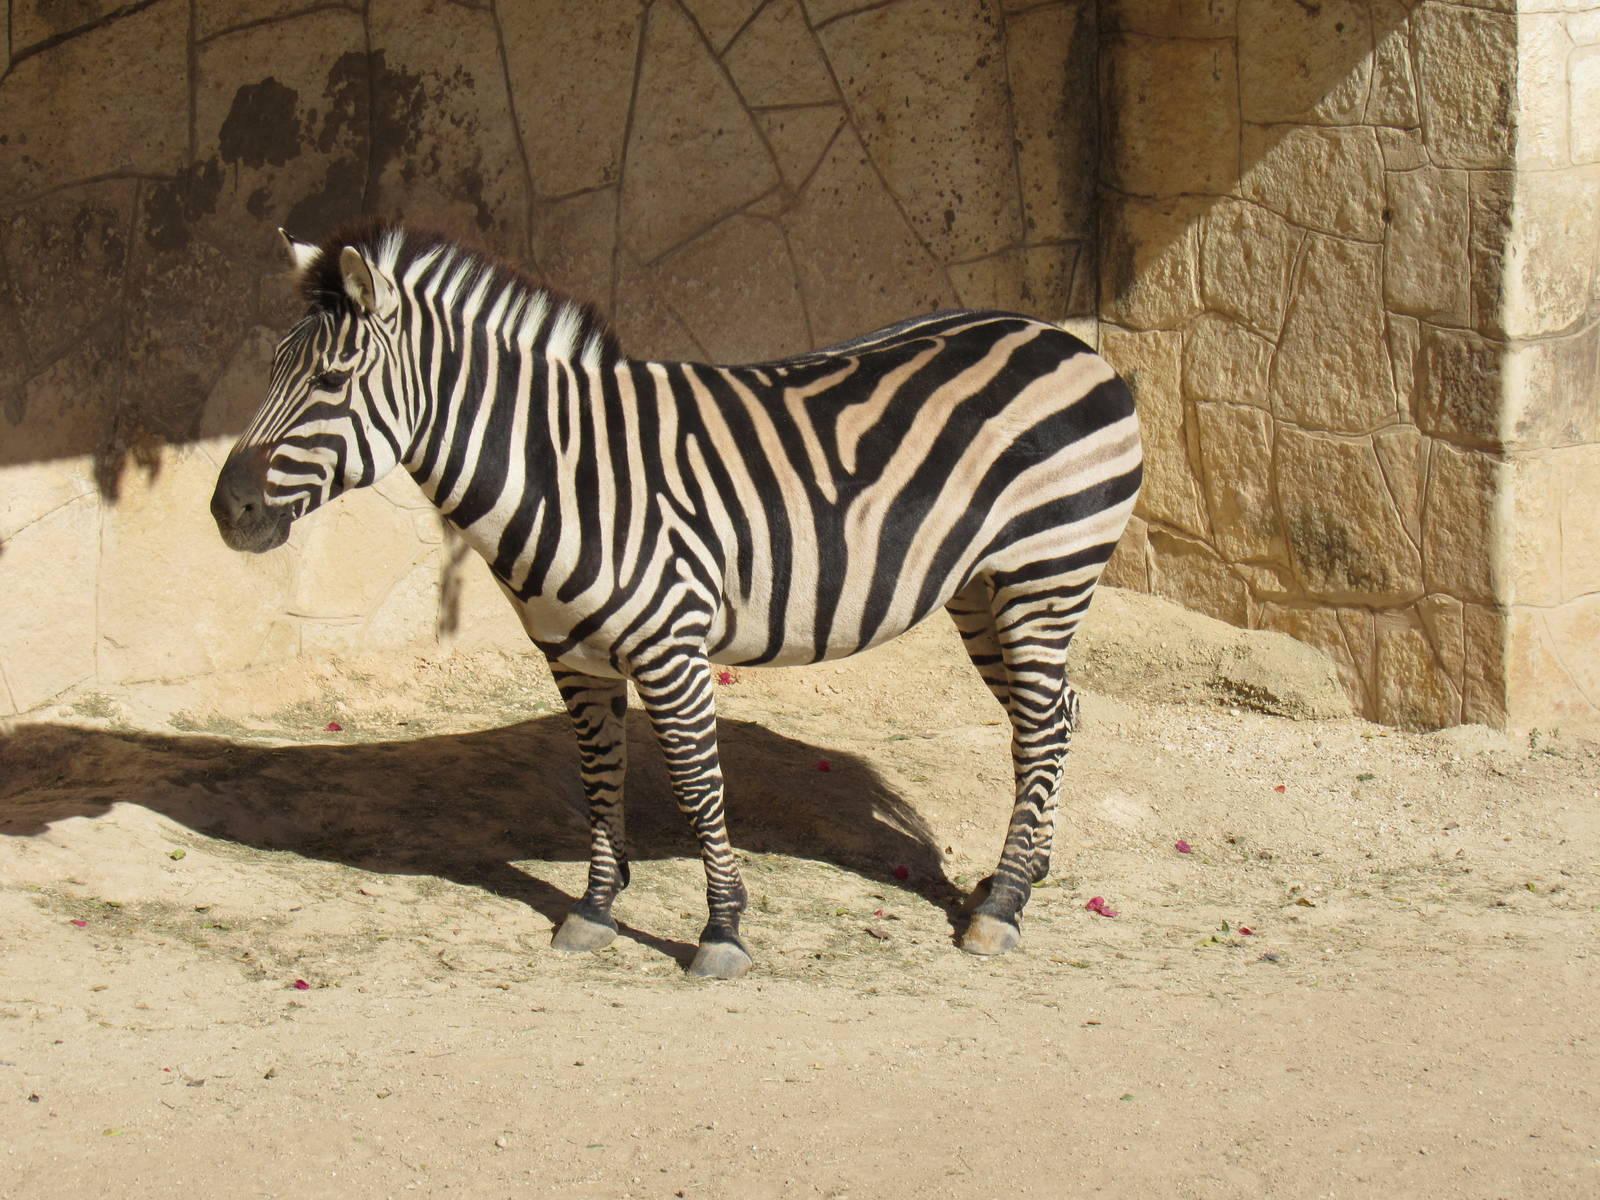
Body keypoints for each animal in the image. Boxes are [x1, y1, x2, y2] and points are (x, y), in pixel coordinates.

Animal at [210, 222, 1143, 980]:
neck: (566, 471)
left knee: (1042, 723)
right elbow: (598, 778)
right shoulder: (575, 659)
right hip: (983, 588)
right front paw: (593, 909)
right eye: (274, 368)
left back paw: (1003, 908)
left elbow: (697, 786)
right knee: (1055, 716)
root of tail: (1064, 340)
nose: (228, 509)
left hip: (1045, 573)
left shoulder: (672, 649)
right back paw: (1021, 878)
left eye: (333, 378)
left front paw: (722, 931)